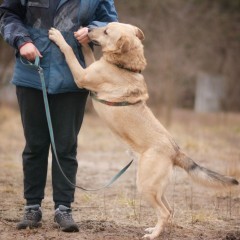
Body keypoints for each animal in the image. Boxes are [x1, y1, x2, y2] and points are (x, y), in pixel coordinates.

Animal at [48, 23, 238, 240]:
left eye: (106, 31)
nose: (86, 29)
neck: (124, 66)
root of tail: (176, 150)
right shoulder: (89, 68)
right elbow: (88, 53)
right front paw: (83, 43)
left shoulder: (82, 75)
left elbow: (69, 52)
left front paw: (59, 37)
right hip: (156, 188)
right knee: (169, 210)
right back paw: (155, 230)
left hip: (145, 186)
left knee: (164, 212)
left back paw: (152, 235)